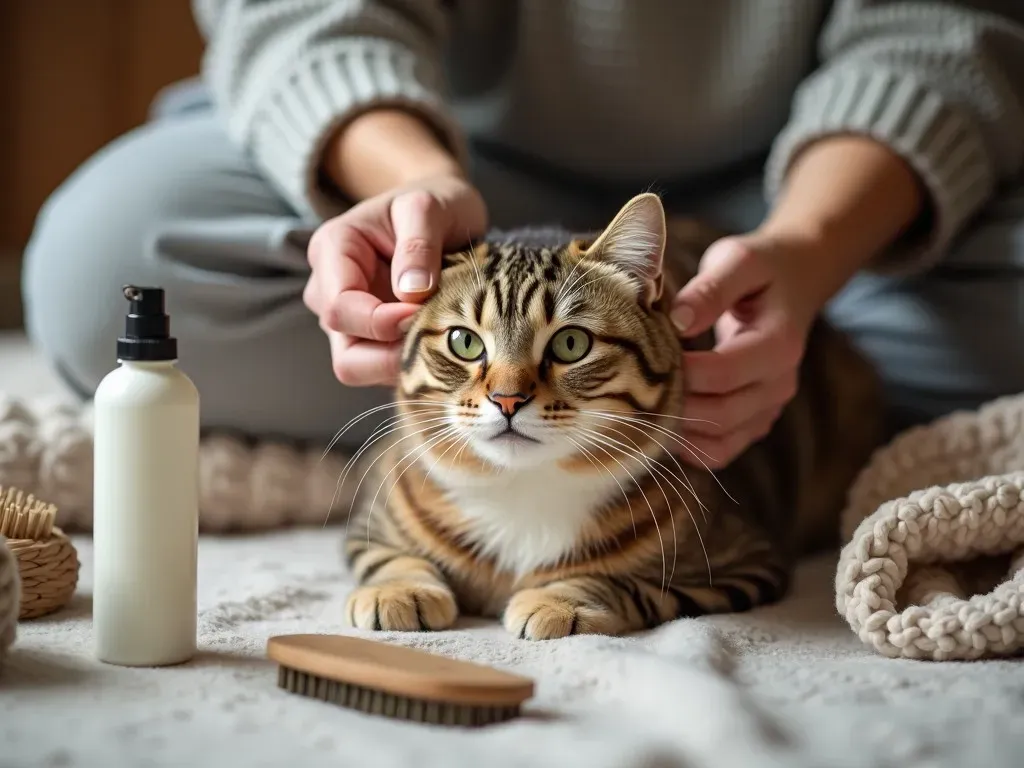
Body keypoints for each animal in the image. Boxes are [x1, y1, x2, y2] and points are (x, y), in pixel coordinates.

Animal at [339, 193, 884, 643]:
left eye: (570, 343)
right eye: (464, 342)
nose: (507, 399)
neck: (525, 488)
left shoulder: (744, 563)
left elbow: (630, 583)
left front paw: (560, 599)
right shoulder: (371, 520)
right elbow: (385, 555)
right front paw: (399, 591)